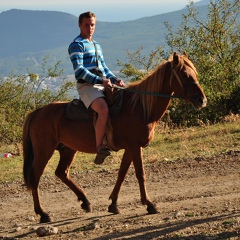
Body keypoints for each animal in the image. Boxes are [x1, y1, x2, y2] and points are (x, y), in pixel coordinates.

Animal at [22, 52, 206, 223]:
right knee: (35, 178)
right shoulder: (135, 146)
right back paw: (43, 214)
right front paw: (149, 204)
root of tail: (37, 112)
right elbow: (140, 174)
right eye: (184, 74)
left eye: (195, 72)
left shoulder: (130, 148)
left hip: (68, 150)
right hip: (44, 151)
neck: (139, 108)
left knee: (62, 173)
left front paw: (113, 204)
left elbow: (122, 173)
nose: (201, 100)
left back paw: (85, 202)